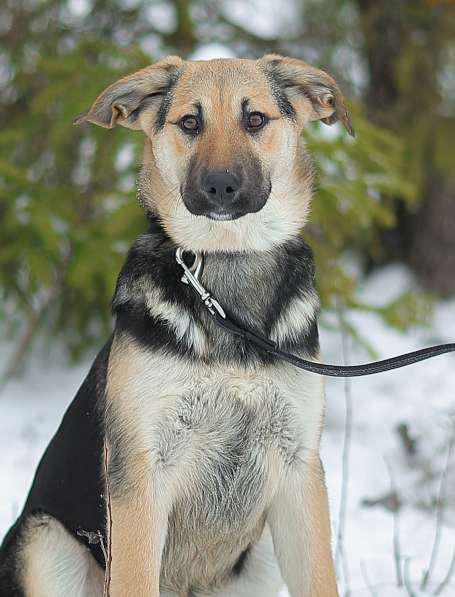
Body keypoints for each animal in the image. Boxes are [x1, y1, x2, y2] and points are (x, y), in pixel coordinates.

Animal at [0, 53, 354, 592]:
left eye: (255, 119)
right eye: (190, 122)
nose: (221, 185)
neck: (226, 274)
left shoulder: (299, 471)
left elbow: (320, 581)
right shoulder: (142, 475)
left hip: (264, 552)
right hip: (44, 540)